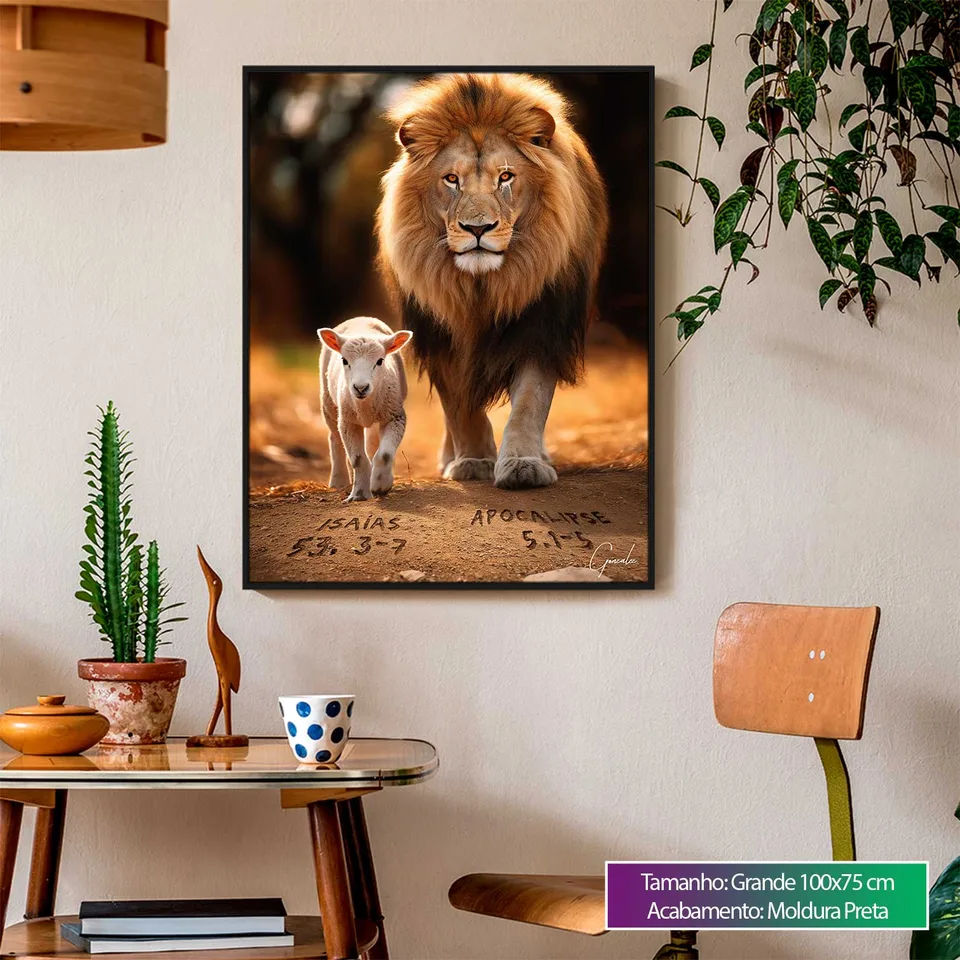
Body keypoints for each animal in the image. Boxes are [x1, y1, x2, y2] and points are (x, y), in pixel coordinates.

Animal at [376, 73, 608, 489]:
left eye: (505, 177)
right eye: (452, 179)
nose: (477, 228)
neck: (482, 287)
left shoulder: (541, 327)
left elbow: (530, 402)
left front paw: (522, 465)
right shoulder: (442, 334)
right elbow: (458, 406)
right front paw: (473, 461)